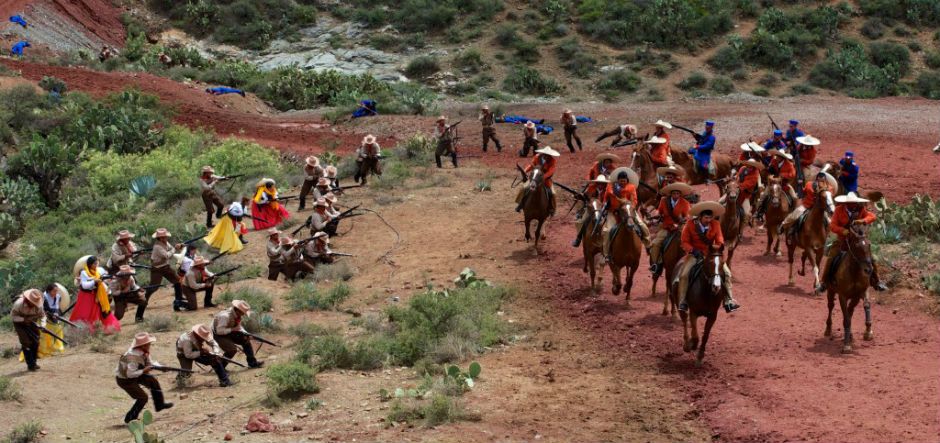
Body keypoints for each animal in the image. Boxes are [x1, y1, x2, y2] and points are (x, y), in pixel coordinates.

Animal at [824, 225, 875, 353]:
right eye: (856, 246)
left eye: (869, 245)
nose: (868, 269)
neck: (854, 272)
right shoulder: (842, 296)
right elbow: (846, 318)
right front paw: (846, 345)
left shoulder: (858, 294)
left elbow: (861, 307)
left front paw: (868, 332)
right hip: (830, 291)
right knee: (830, 306)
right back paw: (828, 329)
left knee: (850, 311)